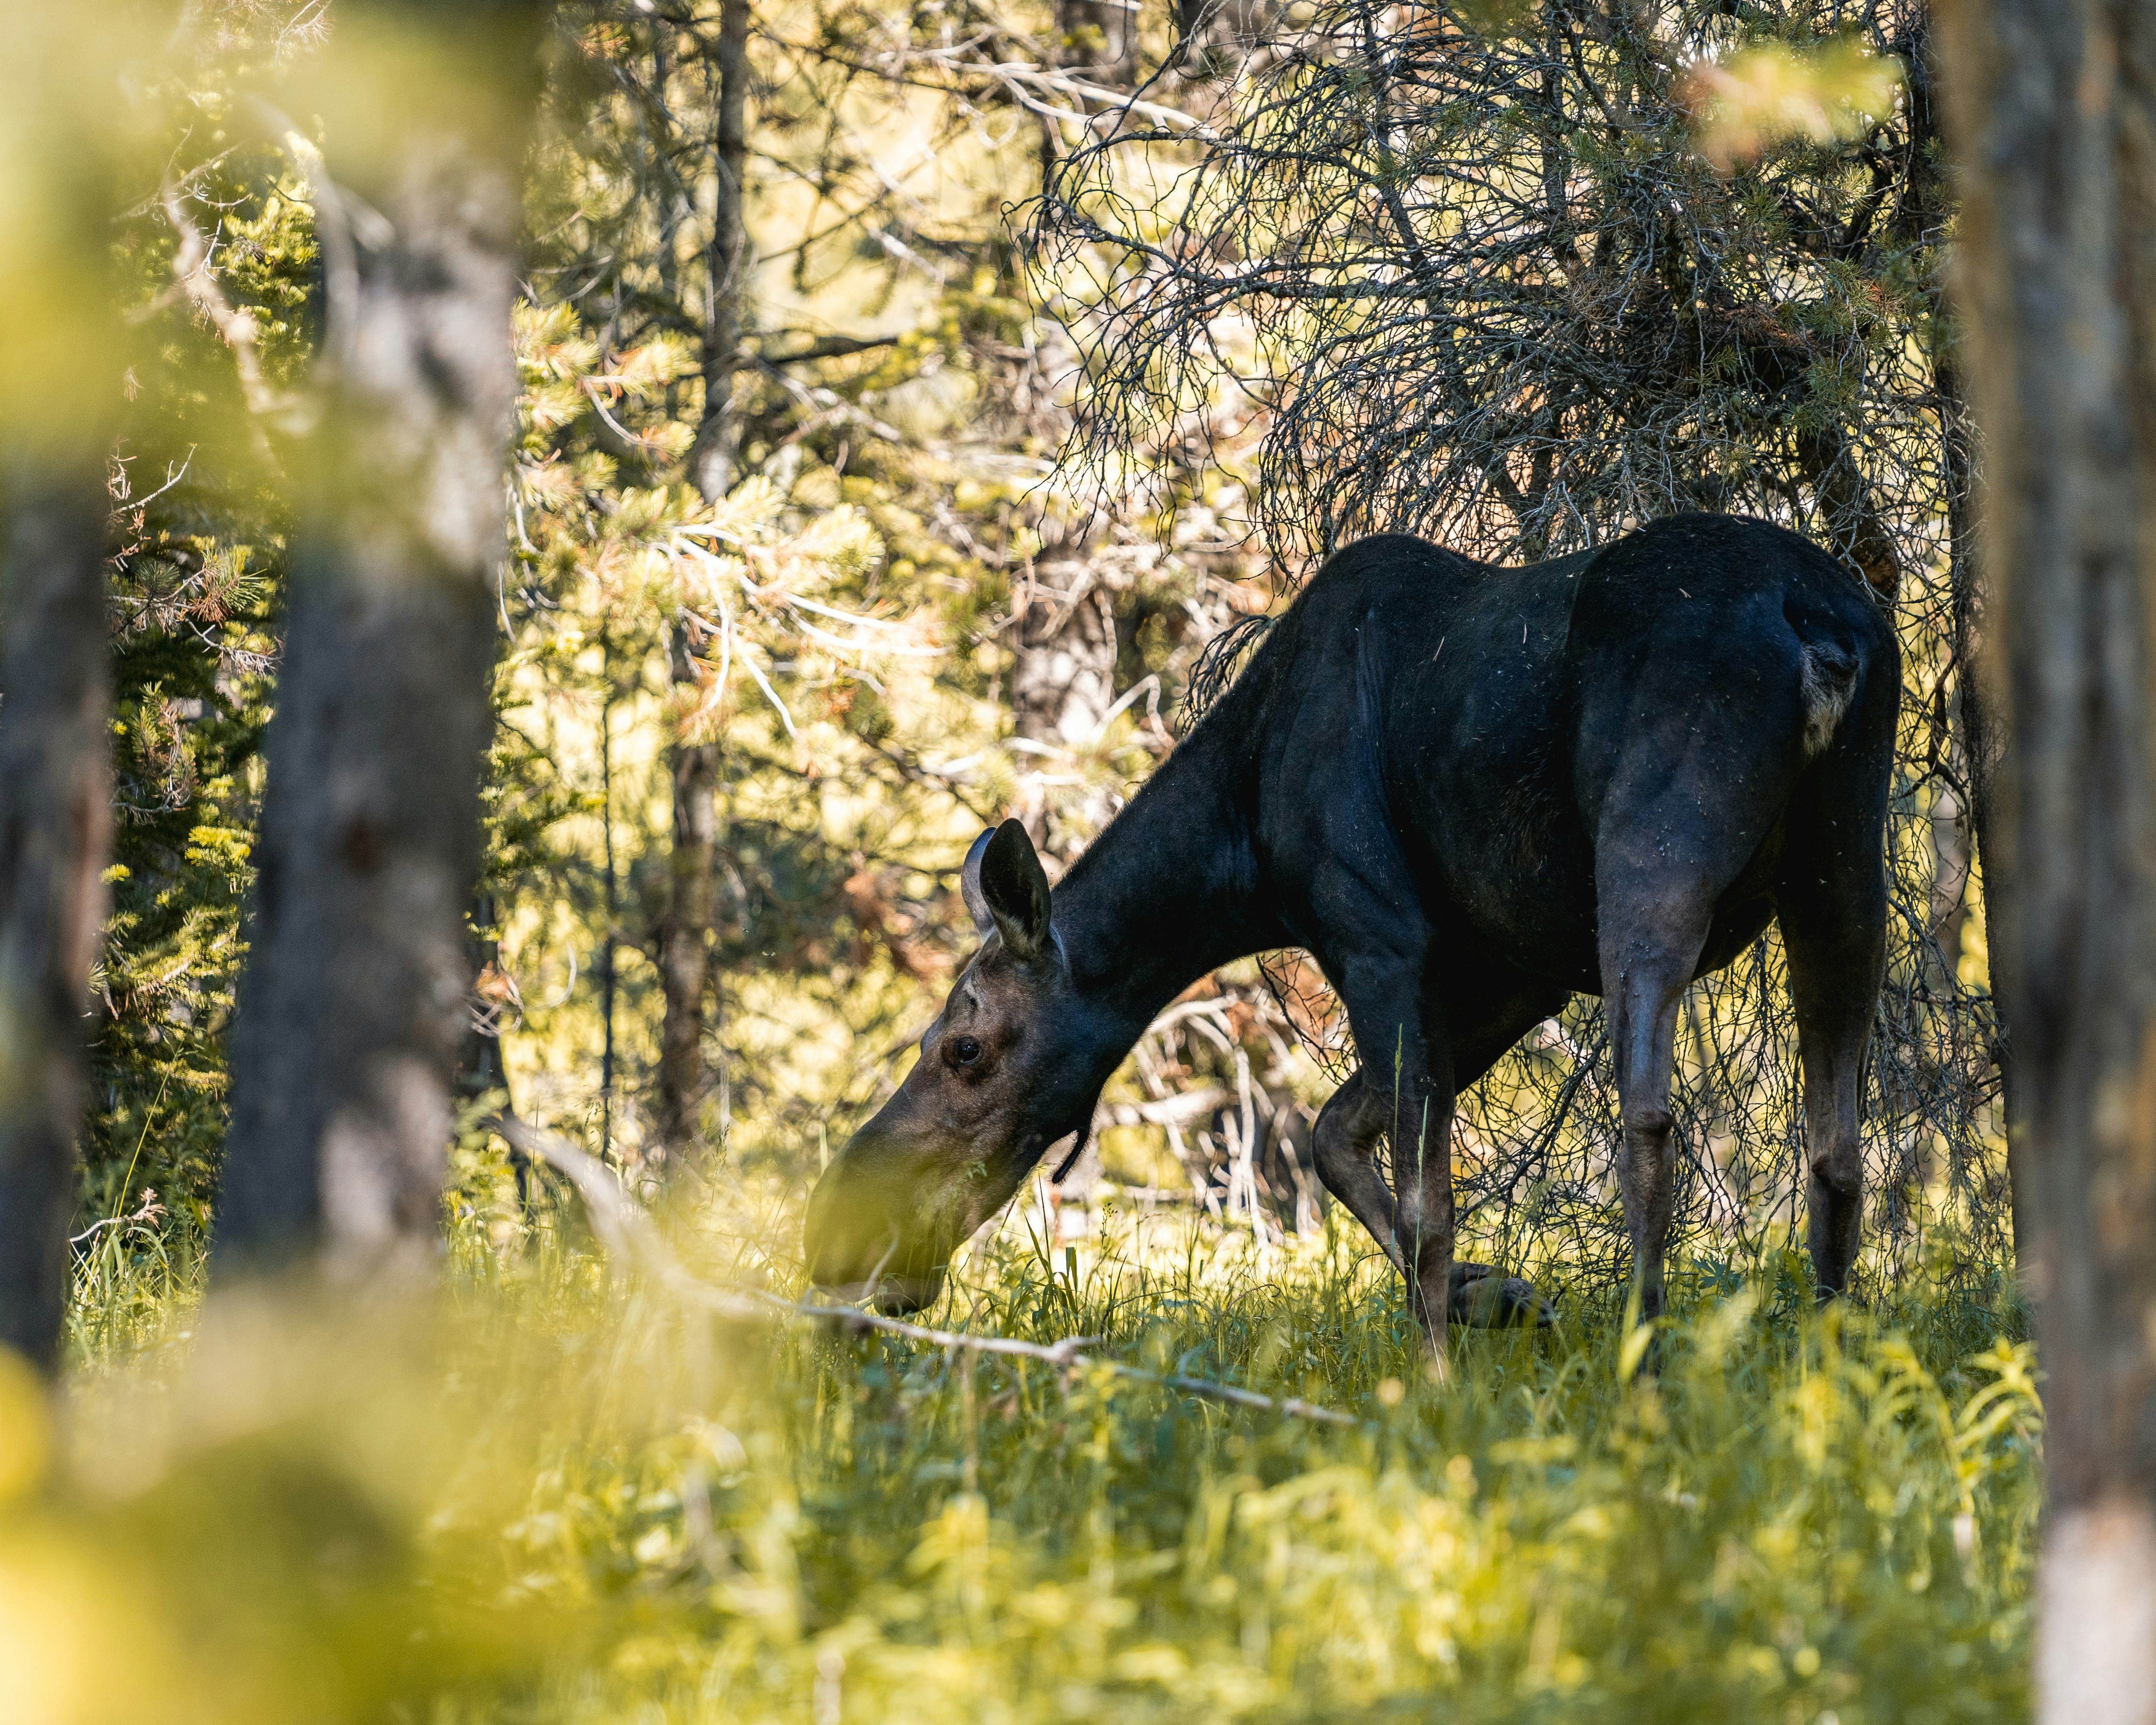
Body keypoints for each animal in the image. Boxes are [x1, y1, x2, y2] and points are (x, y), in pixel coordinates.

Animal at [803, 513, 1897, 1346]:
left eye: (965, 1046)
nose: (834, 1236)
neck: (1239, 846)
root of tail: (1816, 626)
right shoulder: (1511, 971)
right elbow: (1338, 1135)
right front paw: (1495, 1297)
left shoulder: (1377, 938)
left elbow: (1425, 1203)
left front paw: (1437, 1378)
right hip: (1845, 864)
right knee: (1837, 1146)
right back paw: (1831, 1363)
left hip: (1654, 854)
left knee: (1649, 1121)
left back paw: (1650, 1358)